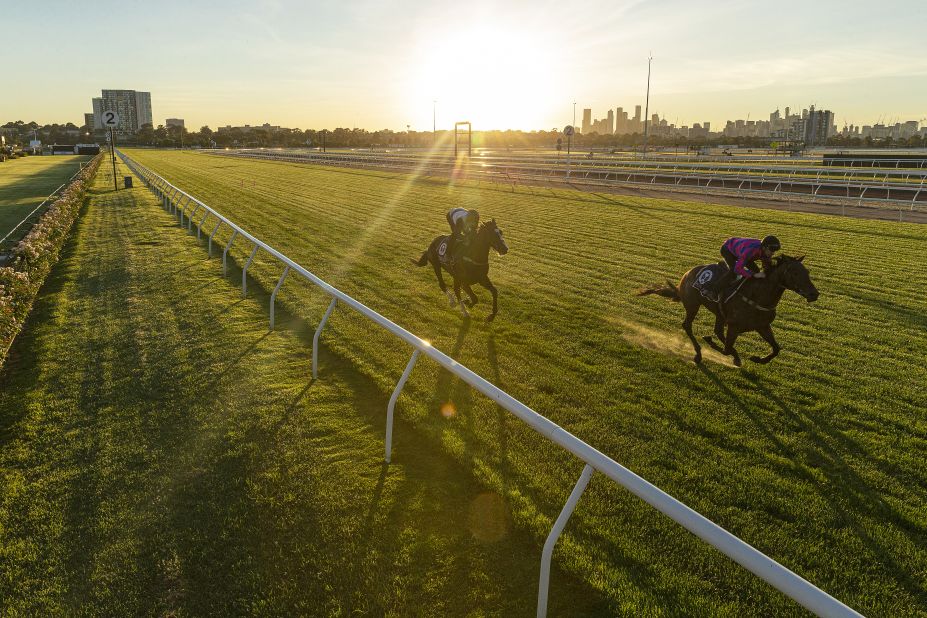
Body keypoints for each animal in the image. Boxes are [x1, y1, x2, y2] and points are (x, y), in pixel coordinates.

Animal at [640, 254, 820, 366]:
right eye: (795, 272)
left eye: (807, 271)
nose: (814, 294)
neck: (758, 296)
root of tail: (687, 273)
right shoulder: (734, 326)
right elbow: (726, 349)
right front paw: (711, 343)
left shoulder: (762, 326)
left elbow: (776, 349)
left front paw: (757, 359)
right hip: (692, 305)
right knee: (687, 325)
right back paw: (698, 354)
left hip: (718, 313)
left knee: (718, 330)